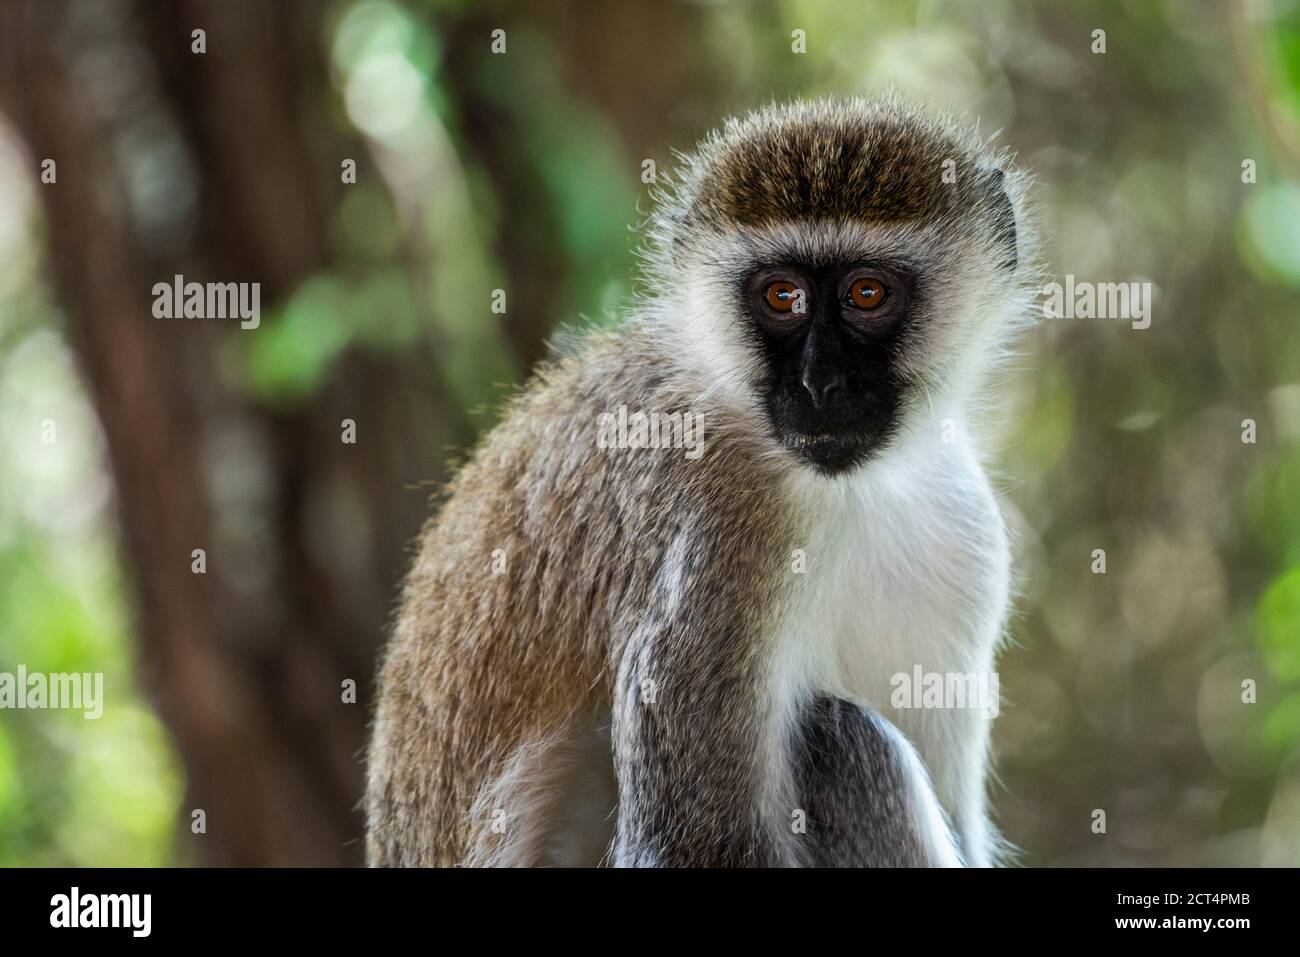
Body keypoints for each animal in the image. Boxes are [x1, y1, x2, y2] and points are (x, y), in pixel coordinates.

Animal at [365, 97, 1034, 867]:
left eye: (867, 293)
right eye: (782, 296)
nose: (820, 383)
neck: (847, 488)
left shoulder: (965, 525)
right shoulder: (716, 529)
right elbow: (686, 843)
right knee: (839, 737)